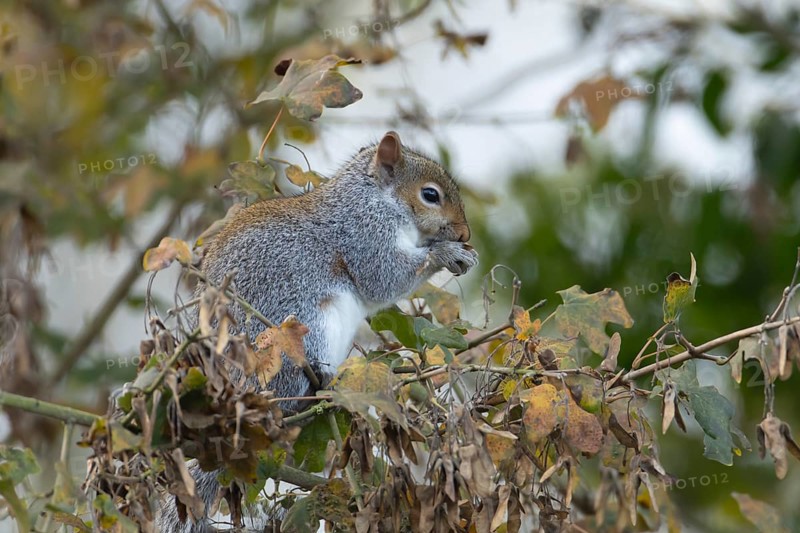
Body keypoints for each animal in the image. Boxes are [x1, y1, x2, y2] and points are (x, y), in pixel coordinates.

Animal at [157, 131, 478, 532]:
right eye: (430, 195)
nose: (465, 233)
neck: (374, 198)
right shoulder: (364, 234)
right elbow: (385, 277)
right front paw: (448, 253)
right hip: (298, 329)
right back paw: (322, 379)